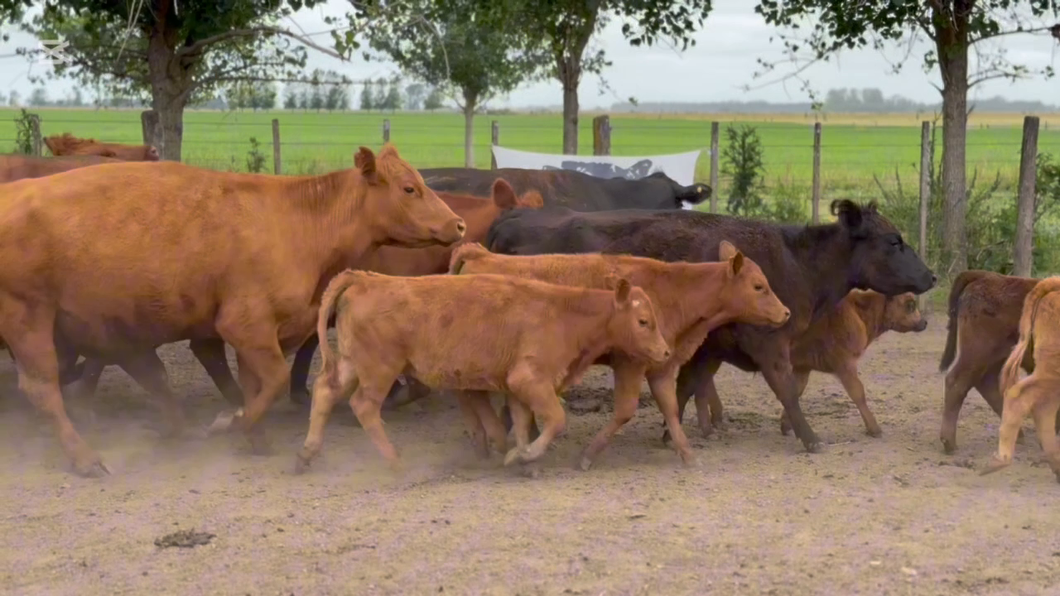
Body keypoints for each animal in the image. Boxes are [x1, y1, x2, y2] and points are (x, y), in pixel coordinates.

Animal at [0, 144, 465, 477]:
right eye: (409, 188)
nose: (458, 223)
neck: (298, 221)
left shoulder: (256, 333)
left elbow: (252, 383)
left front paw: (253, 434)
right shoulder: (245, 325)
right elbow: (272, 381)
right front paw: (236, 424)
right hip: (28, 319)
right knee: (42, 388)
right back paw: (85, 457)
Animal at [293, 270, 671, 474]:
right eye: (643, 321)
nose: (665, 352)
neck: (564, 314)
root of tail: (365, 279)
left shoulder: (518, 388)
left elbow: (521, 422)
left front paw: (522, 459)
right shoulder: (530, 379)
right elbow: (556, 419)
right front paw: (526, 455)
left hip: (350, 363)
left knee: (326, 391)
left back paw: (307, 454)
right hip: (379, 369)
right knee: (364, 406)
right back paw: (396, 463)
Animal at [445, 240, 790, 469]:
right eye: (759, 286)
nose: (786, 312)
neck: (674, 291)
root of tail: (481, 254)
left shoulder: (661, 365)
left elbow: (671, 409)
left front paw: (688, 454)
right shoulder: (631, 363)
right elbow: (625, 410)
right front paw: (588, 455)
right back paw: (487, 443)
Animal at [484, 200, 937, 453]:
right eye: (894, 241)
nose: (931, 276)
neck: (795, 263)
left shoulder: (707, 348)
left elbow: (685, 388)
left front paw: (673, 434)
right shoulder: (771, 345)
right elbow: (788, 391)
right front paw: (810, 438)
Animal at [937, 270, 1045, 454]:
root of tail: (986, 276)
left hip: (995, 357)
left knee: (986, 384)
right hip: (978, 352)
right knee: (957, 382)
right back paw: (949, 443)